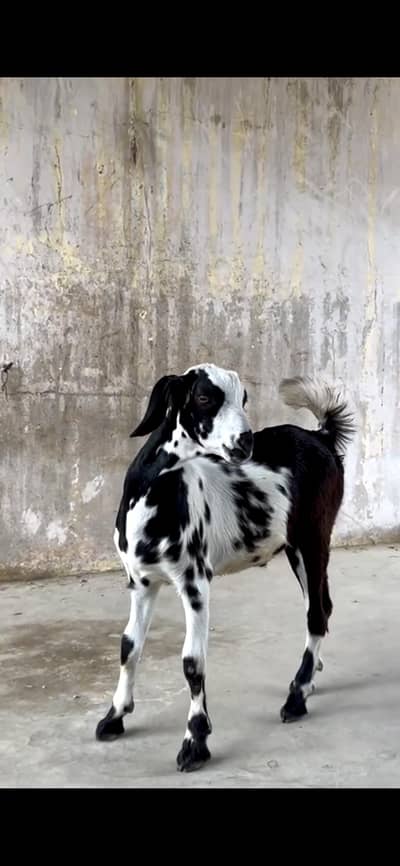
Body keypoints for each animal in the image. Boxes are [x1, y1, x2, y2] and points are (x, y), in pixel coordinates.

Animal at [96, 363, 354, 772]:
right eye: (204, 397)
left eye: (244, 398)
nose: (245, 443)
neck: (155, 496)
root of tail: (321, 437)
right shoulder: (141, 581)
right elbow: (129, 646)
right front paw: (114, 717)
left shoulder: (195, 581)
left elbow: (192, 661)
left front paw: (195, 744)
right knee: (322, 607)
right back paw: (310, 678)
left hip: (313, 536)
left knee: (316, 614)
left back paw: (296, 698)